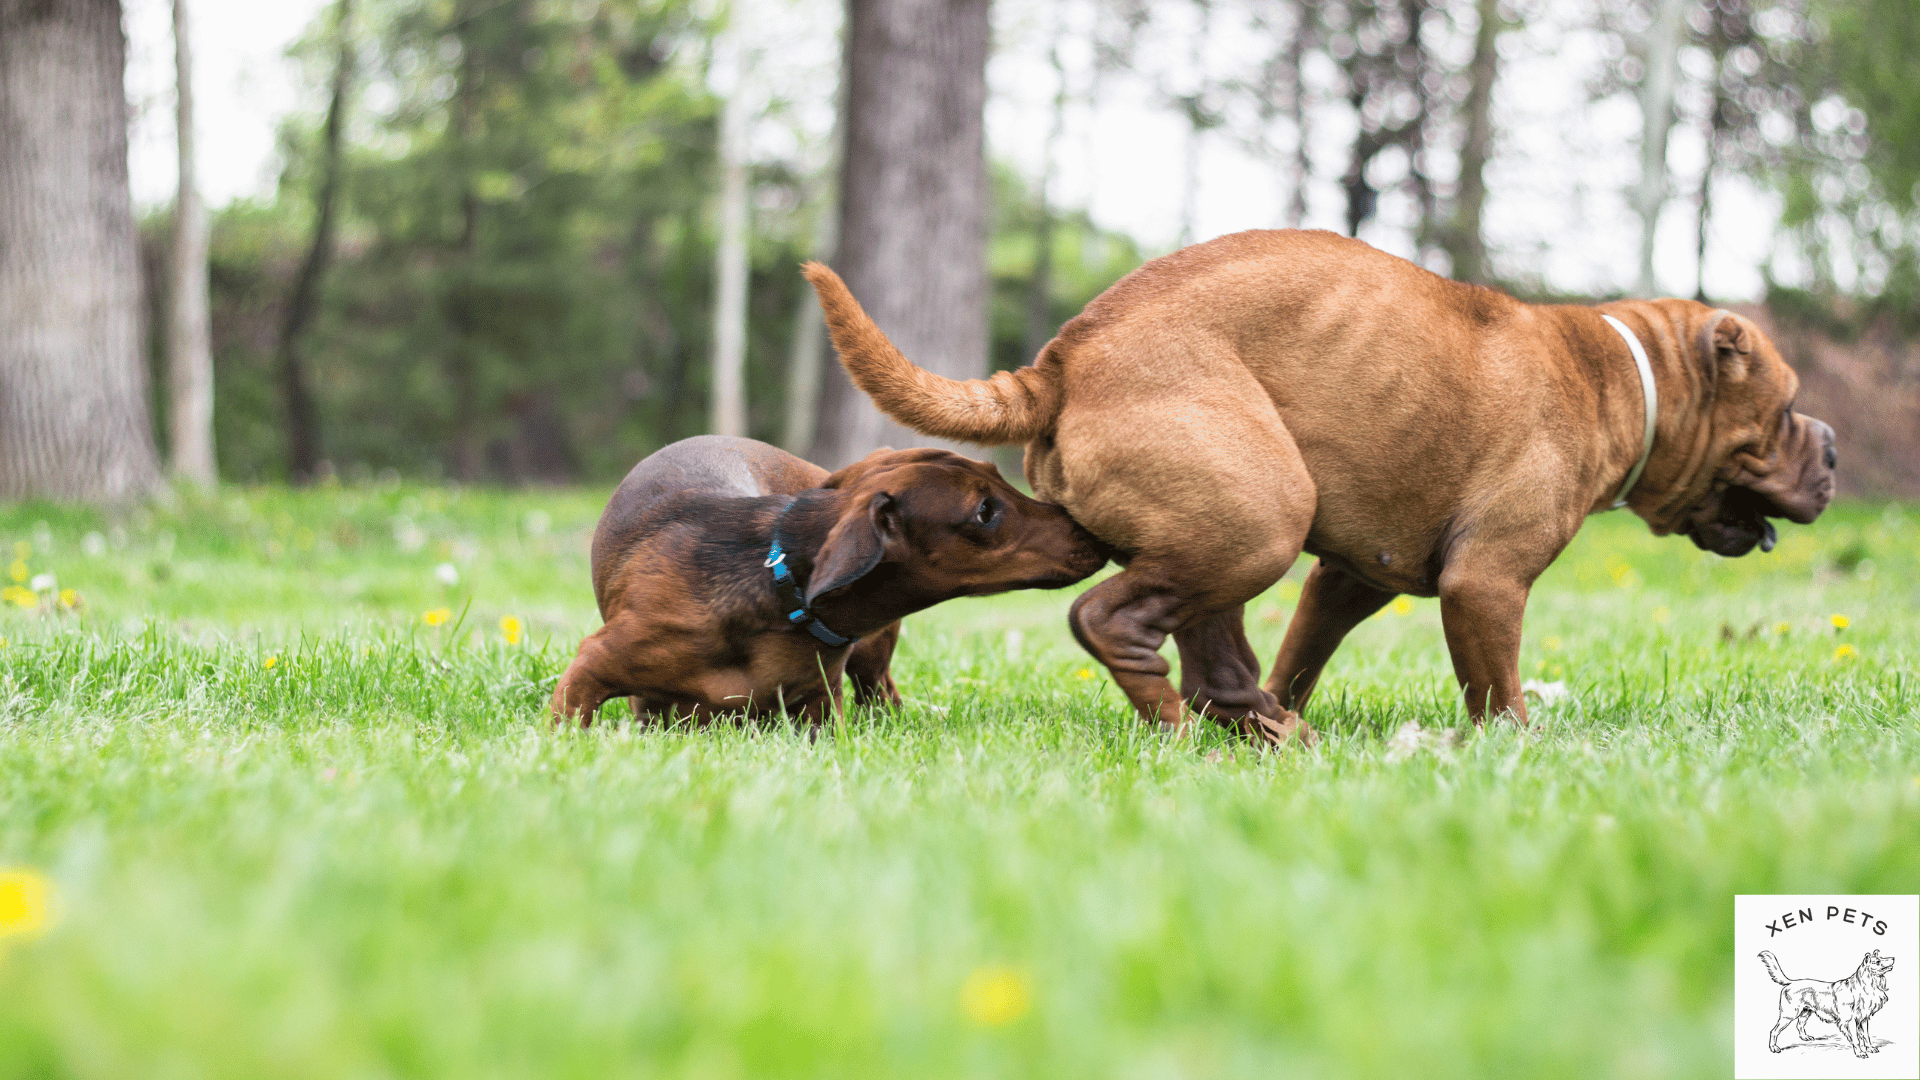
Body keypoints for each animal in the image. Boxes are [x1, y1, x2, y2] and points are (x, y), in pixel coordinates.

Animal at [802, 228, 1835, 737]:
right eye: (1787, 408)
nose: (1828, 446)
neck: (1626, 373)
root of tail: (1064, 359)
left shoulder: (1350, 578)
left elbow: (1302, 652)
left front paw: (1291, 701)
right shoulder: (1487, 582)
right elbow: (1495, 687)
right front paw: (1517, 748)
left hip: (1230, 531)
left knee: (1217, 655)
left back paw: (1265, 730)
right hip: (1260, 515)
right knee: (1114, 623)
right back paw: (1176, 728)